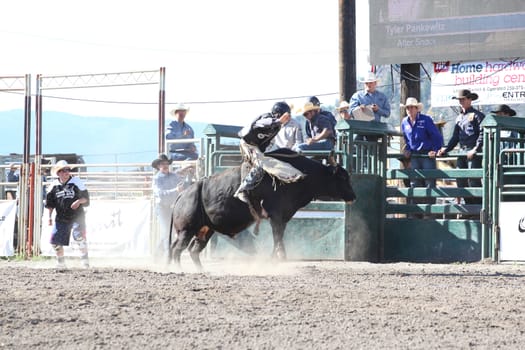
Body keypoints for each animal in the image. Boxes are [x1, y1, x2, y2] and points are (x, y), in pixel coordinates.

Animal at [168, 149, 356, 270]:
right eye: (342, 176)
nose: (353, 196)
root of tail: (183, 194)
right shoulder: (276, 216)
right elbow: (277, 238)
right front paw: (278, 259)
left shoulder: (282, 218)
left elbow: (279, 238)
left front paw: (276, 258)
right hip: (186, 230)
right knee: (176, 249)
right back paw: (178, 269)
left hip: (205, 230)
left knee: (193, 250)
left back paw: (200, 270)